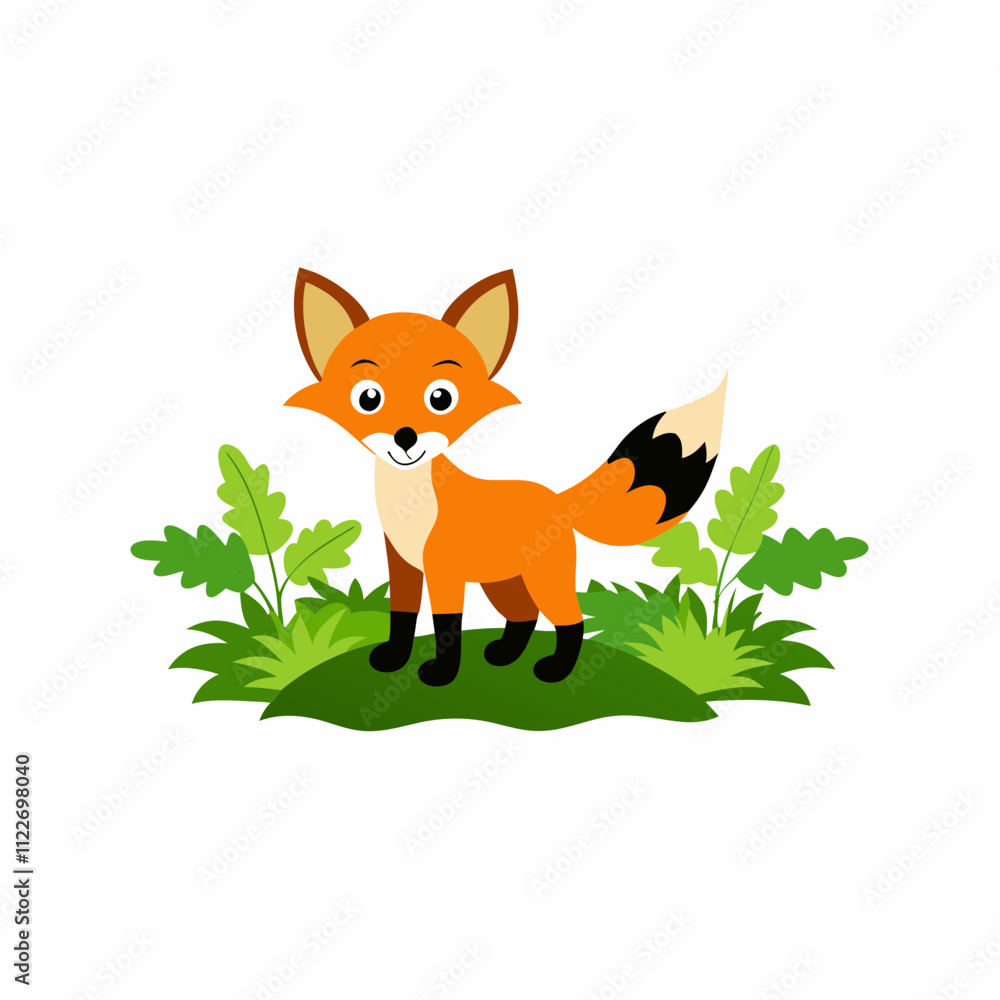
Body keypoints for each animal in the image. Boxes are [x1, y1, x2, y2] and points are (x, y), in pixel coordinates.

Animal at [286, 268, 726, 687]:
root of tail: (556, 498)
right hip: (503, 581)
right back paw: (505, 654)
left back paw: (556, 670)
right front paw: (394, 659)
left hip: (543, 578)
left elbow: (446, 626)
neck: (410, 504)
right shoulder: (403, 563)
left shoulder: (444, 570)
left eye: (441, 398)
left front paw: (441, 675)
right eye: (369, 398)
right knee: (525, 615)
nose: (406, 437)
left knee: (570, 621)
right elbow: (403, 617)